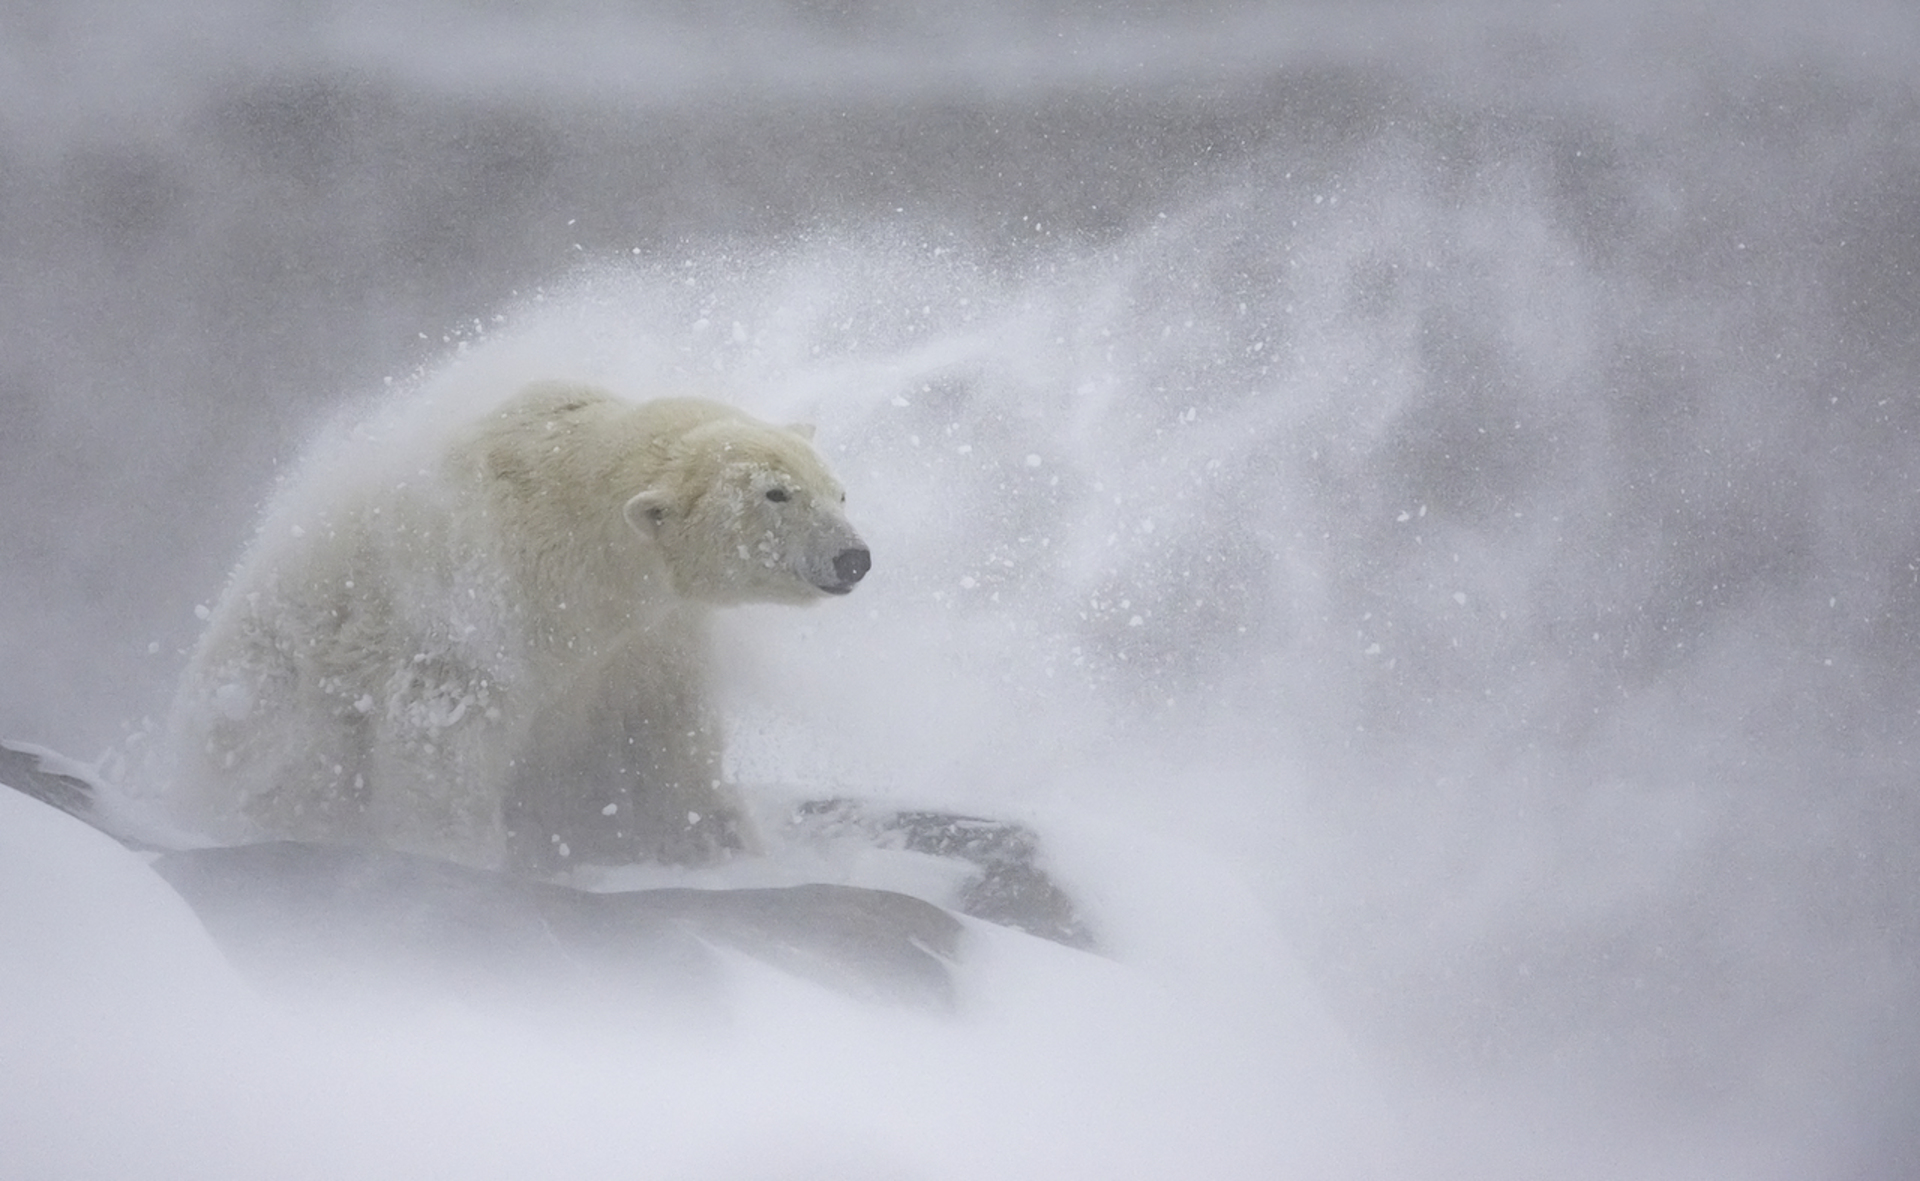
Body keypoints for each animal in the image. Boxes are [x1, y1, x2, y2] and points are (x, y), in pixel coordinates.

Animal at [165, 384, 871, 871]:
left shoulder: (650, 635)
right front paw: (456, 856)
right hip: (274, 696)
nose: (853, 557)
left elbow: (667, 732)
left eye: (837, 491)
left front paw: (719, 843)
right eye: (776, 494)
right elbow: (444, 729)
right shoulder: (484, 600)